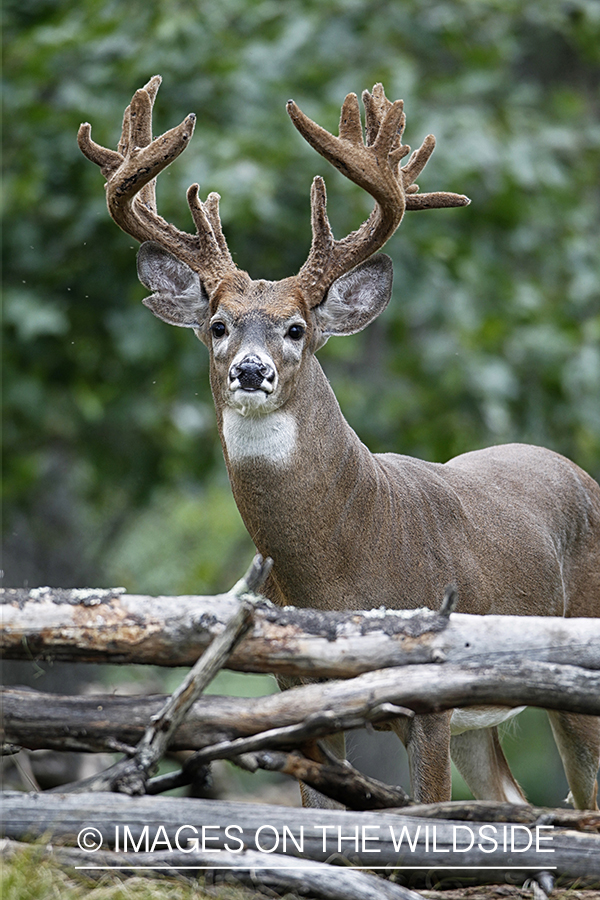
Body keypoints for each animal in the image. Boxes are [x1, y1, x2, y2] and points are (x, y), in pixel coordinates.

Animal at [78, 75, 600, 808]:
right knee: (511, 802)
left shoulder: (429, 696)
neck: (339, 568)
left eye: (296, 328)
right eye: (217, 325)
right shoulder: (295, 687)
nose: (251, 370)